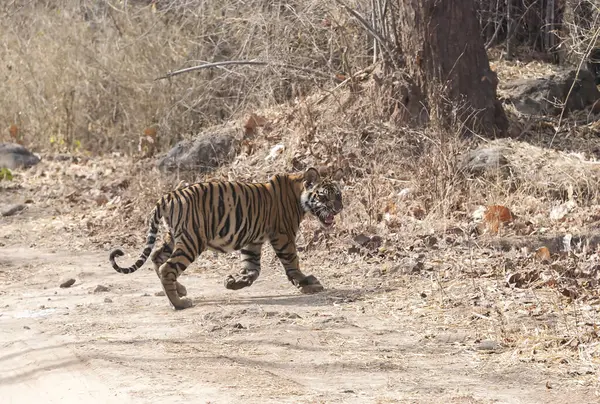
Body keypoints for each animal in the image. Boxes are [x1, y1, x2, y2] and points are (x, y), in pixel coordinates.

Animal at [108, 166, 342, 310]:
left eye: (339, 195)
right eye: (324, 196)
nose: (339, 208)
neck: (298, 193)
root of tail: (168, 196)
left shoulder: (253, 241)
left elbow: (253, 269)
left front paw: (234, 283)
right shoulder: (283, 235)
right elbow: (292, 262)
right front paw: (308, 283)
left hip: (173, 236)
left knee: (157, 257)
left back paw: (180, 290)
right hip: (193, 239)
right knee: (167, 266)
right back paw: (180, 303)